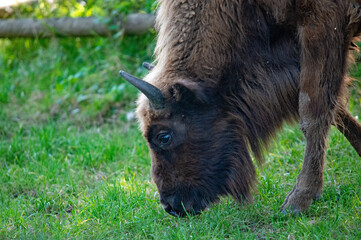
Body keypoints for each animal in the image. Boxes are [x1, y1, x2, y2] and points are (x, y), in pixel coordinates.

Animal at [119, 0, 360, 217]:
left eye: (164, 136)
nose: (171, 206)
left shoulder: (321, 23)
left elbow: (312, 112)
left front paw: (297, 202)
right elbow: (335, 110)